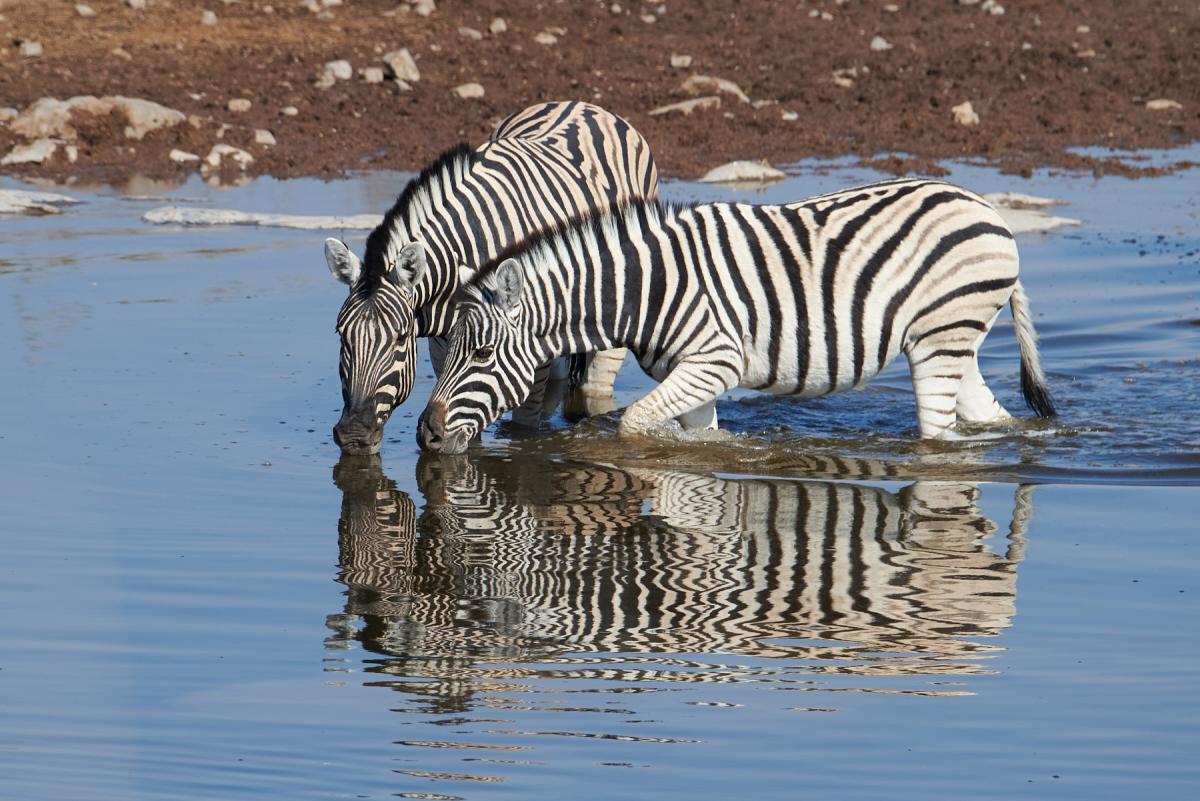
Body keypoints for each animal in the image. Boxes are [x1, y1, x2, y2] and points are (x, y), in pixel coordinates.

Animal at [327, 101, 658, 455]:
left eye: (401, 338)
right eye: (341, 335)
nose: (353, 436)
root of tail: (583, 105)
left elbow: (523, 427)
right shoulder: (445, 350)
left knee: (595, 385)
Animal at [417, 180, 1056, 453]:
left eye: (481, 355)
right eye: (440, 357)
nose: (426, 434)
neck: (641, 290)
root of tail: (986, 209)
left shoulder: (715, 360)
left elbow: (633, 423)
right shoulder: (694, 375)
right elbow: (696, 435)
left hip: (944, 337)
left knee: (940, 438)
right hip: (949, 341)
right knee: (988, 419)